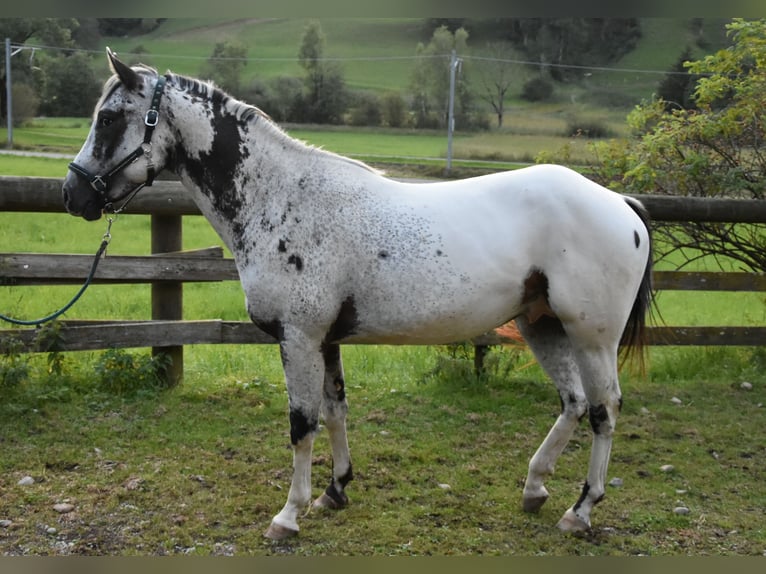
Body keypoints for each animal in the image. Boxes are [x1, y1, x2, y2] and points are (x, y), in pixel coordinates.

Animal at [63, 48, 656, 540]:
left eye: (109, 118)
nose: (72, 195)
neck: (281, 199)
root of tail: (621, 204)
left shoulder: (299, 339)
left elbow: (301, 424)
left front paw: (288, 516)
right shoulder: (325, 341)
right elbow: (334, 412)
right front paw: (335, 491)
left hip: (591, 337)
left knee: (604, 411)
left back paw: (580, 511)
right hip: (542, 324)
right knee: (573, 402)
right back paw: (534, 488)